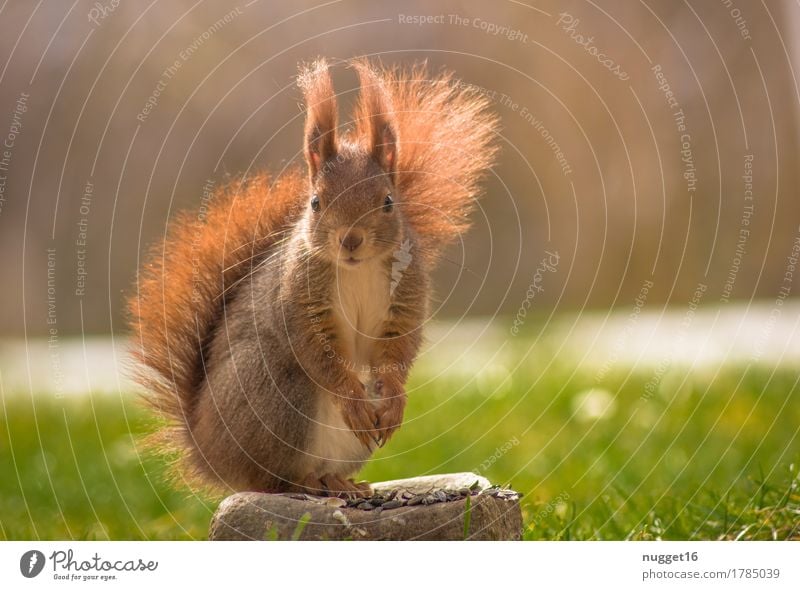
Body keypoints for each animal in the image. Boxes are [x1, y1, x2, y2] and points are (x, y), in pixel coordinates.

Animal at [128, 57, 496, 500]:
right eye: (316, 202)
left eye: (388, 202)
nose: (350, 239)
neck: (356, 270)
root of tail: (208, 452)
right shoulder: (300, 299)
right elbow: (318, 353)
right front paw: (350, 398)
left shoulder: (406, 294)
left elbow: (398, 349)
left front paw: (395, 402)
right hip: (272, 389)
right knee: (270, 479)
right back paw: (304, 480)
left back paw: (337, 481)